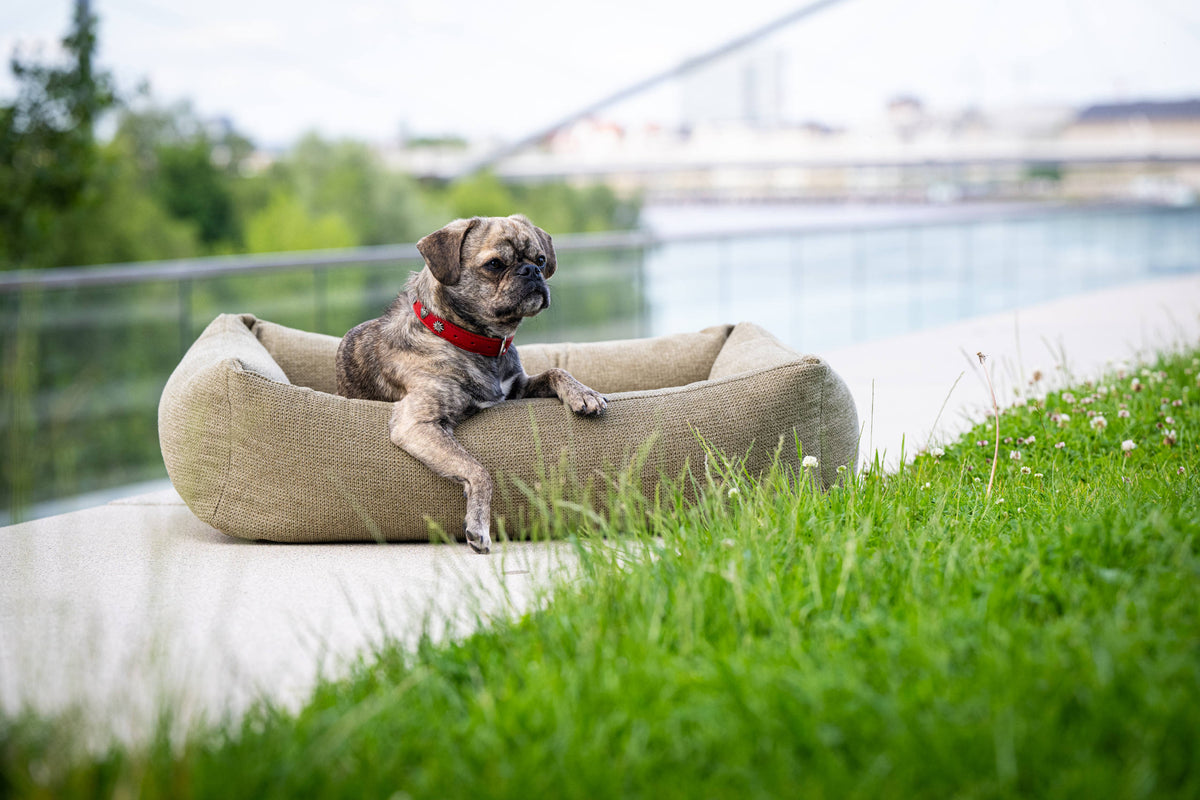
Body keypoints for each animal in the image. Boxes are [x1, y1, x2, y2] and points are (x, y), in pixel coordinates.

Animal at [333, 212, 604, 554]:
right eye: (495, 264)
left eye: (541, 259)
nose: (531, 271)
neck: (472, 340)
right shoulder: (417, 423)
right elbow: (479, 470)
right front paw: (478, 526)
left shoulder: (517, 388)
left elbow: (556, 370)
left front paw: (583, 393)